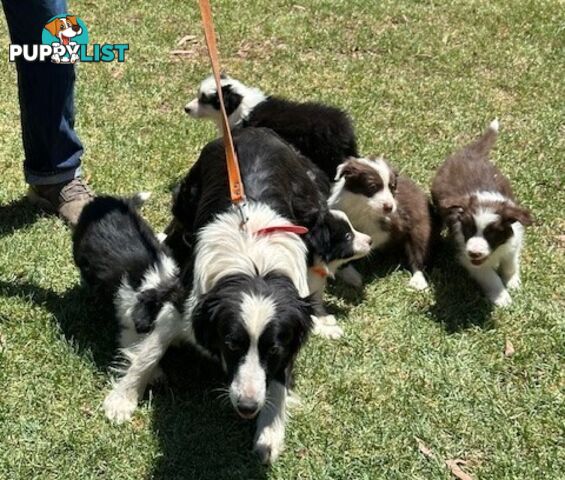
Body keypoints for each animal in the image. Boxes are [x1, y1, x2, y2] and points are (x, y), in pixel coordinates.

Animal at [326, 157, 436, 288]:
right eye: (372, 186)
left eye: (392, 187)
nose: (389, 207)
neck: (363, 207)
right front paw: (350, 274)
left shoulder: (395, 224)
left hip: (420, 226)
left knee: (418, 251)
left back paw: (418, 280)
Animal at [430, 121, 532, 308]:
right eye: (469, 229)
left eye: (492, 233)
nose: (474, 253)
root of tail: (468, 152)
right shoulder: (468, 256)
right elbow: (490, 277)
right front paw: (502, 297)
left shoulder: (514, 239)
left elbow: (511, 262)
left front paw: (513, 282)